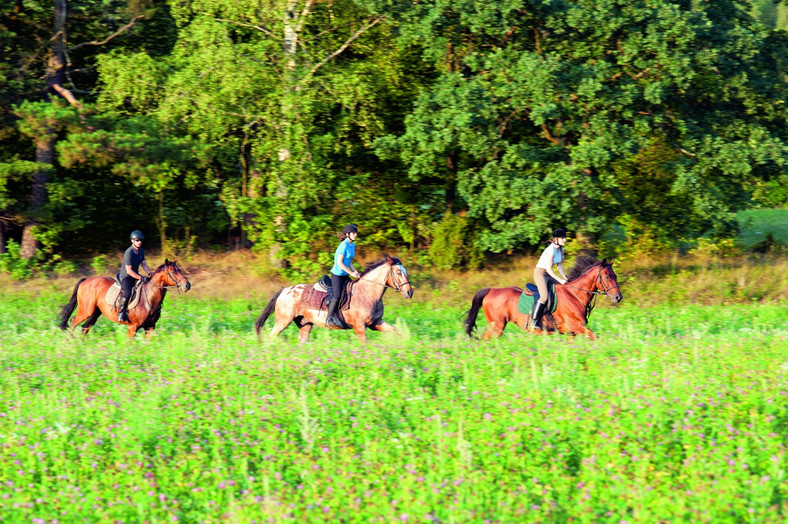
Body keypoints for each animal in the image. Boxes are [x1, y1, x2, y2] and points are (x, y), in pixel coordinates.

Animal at [57, 258, 191, 340]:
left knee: (85, 327)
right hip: (86, 310)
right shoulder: (133, 327)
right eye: (172, 271)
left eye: (179, 270)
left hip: (95, 312)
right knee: (73, 321)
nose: (187, 285)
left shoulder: (150, 327)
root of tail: (86, 280)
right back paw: (71, 343)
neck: (149, 298)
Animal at [255, 255, 416, 344]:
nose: (409, 292)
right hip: (283, 321)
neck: (367, 293)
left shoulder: (376, 323)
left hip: (305, 324)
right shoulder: (360, 327)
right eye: (398, 272)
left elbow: (396, 331)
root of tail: (284, 290)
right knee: (271, 337)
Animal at [462, 256, 620, 340]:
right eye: (607, 276)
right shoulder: (578, 327)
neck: (574, 295)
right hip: (496, 327)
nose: (618, 297)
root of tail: (491, 290)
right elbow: (596, 339)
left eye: (615, 276)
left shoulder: (571, 332)